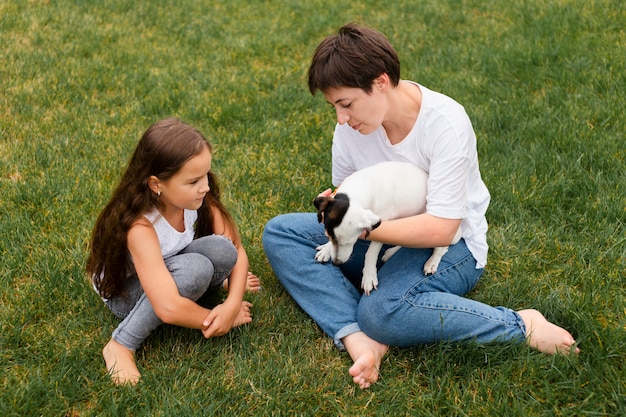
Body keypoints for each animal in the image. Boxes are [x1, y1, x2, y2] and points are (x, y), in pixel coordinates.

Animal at [312, 161, 458, 294]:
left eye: (349, 243)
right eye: (328, 237)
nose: (336, 263)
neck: (358, 189)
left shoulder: (382, 223)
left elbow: (371, 252)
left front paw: (369, 276)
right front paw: (326, 249)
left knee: (441, 247)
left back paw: (432, 261)